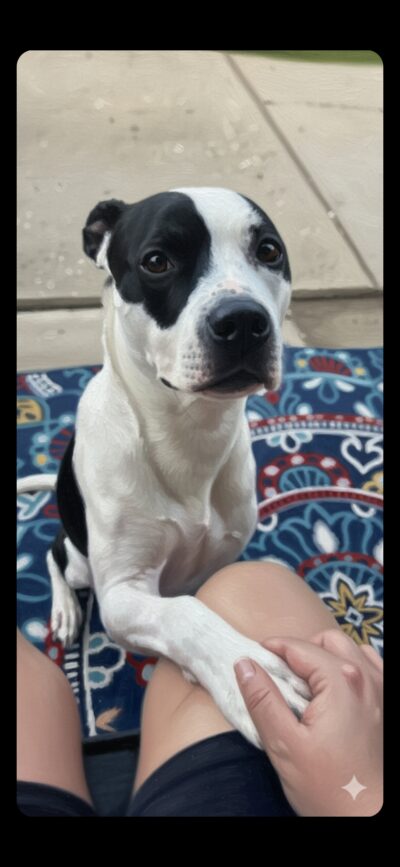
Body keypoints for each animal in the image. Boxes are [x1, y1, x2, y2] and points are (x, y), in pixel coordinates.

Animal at [17, 187, 310, 749]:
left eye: (268, 251)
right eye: (157, 261)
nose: (244, 321)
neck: (189, 436)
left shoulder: (221, 561)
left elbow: (203, 596)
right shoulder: (123, 593)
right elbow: (183, 612)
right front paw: (245, 673)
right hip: (82, 560)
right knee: (54, 552)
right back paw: (65, 610)